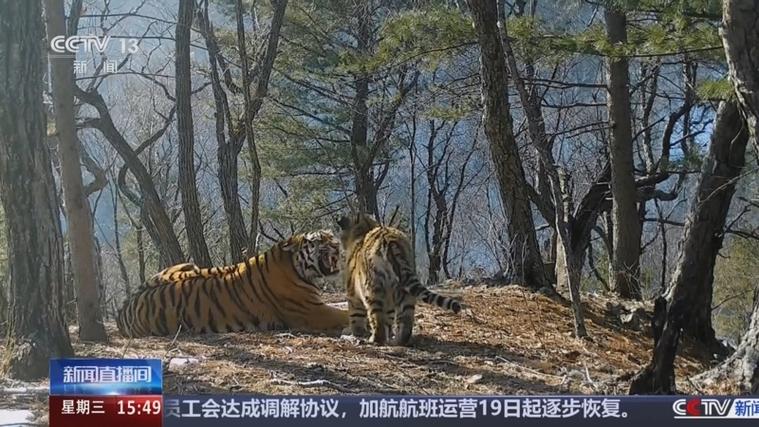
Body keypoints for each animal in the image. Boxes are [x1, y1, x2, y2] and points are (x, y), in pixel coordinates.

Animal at [116, 230, 348, 338]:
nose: (338, 244)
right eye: (319, 240)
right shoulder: (313, 311)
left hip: (184, 266)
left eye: (331, 236)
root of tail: (123, 306)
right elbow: (343, 314)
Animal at [337, 213, 463, 346]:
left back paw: (374, 340)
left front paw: (357, 333)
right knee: (406, 322)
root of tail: (390, 240)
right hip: (405, 291)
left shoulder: (353, 294)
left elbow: (356, 316)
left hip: (373, 289)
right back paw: (398, 341)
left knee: (377, 320)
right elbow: (389, 319)